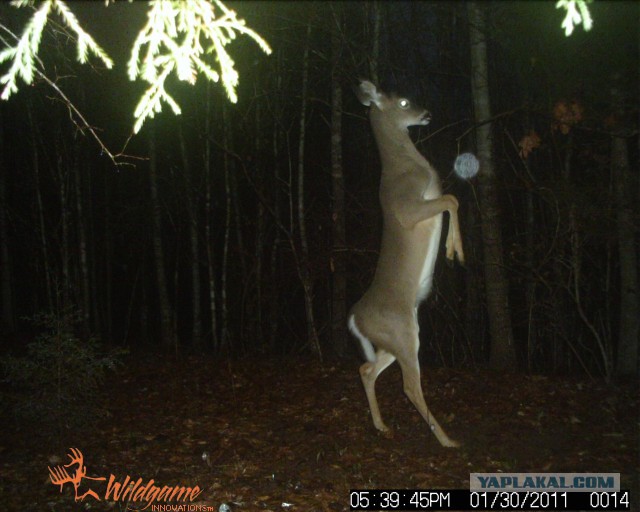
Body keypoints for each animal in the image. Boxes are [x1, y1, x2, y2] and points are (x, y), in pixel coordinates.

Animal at [348, 80, 465, 448]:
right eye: (402, 102)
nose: (426, 113)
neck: (408, 166)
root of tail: (355, 319)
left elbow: (451, 198)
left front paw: (453, 249)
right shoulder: (408, 207)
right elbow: (451, 198)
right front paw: (455, 251)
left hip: (392, 339)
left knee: (366, 369)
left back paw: (382, 426)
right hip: (402, 333)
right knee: (409, 385)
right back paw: (447, 440)